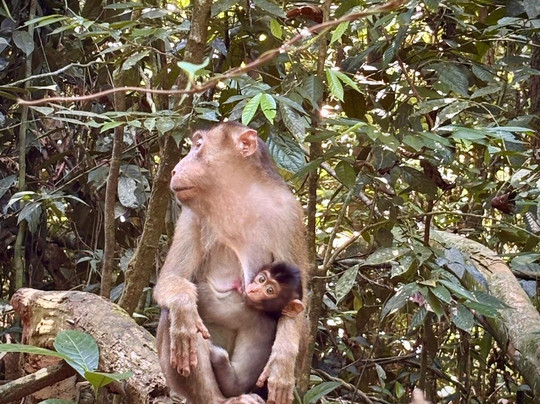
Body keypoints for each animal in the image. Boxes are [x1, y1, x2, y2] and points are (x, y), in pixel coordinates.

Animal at [209, 262, 305, 398]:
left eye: (269, 290)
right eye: (261, 279)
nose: (253, 289)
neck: (271, 314)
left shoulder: (246, 312)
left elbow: (209, 305)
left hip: (230, 384)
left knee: (220, 356)